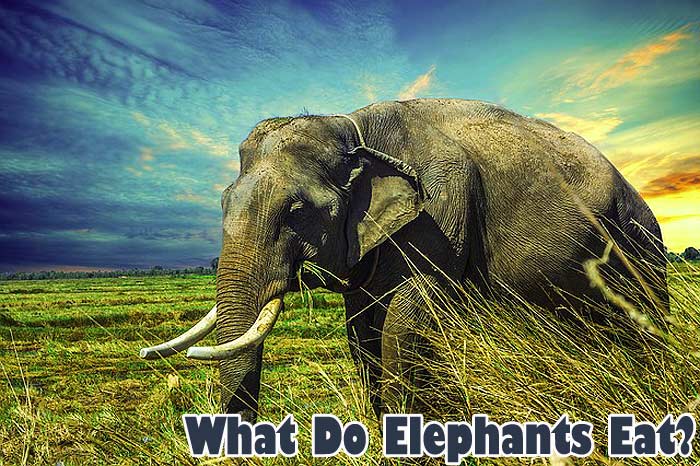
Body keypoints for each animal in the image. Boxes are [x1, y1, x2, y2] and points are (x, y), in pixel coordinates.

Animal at [140, 98, 668, 422]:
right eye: (222, 202)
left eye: (295, 211)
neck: (350, 125)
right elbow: (361, 331)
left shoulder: (440, 210)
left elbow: (404, 322)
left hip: (640, 242)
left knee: (643, 322)